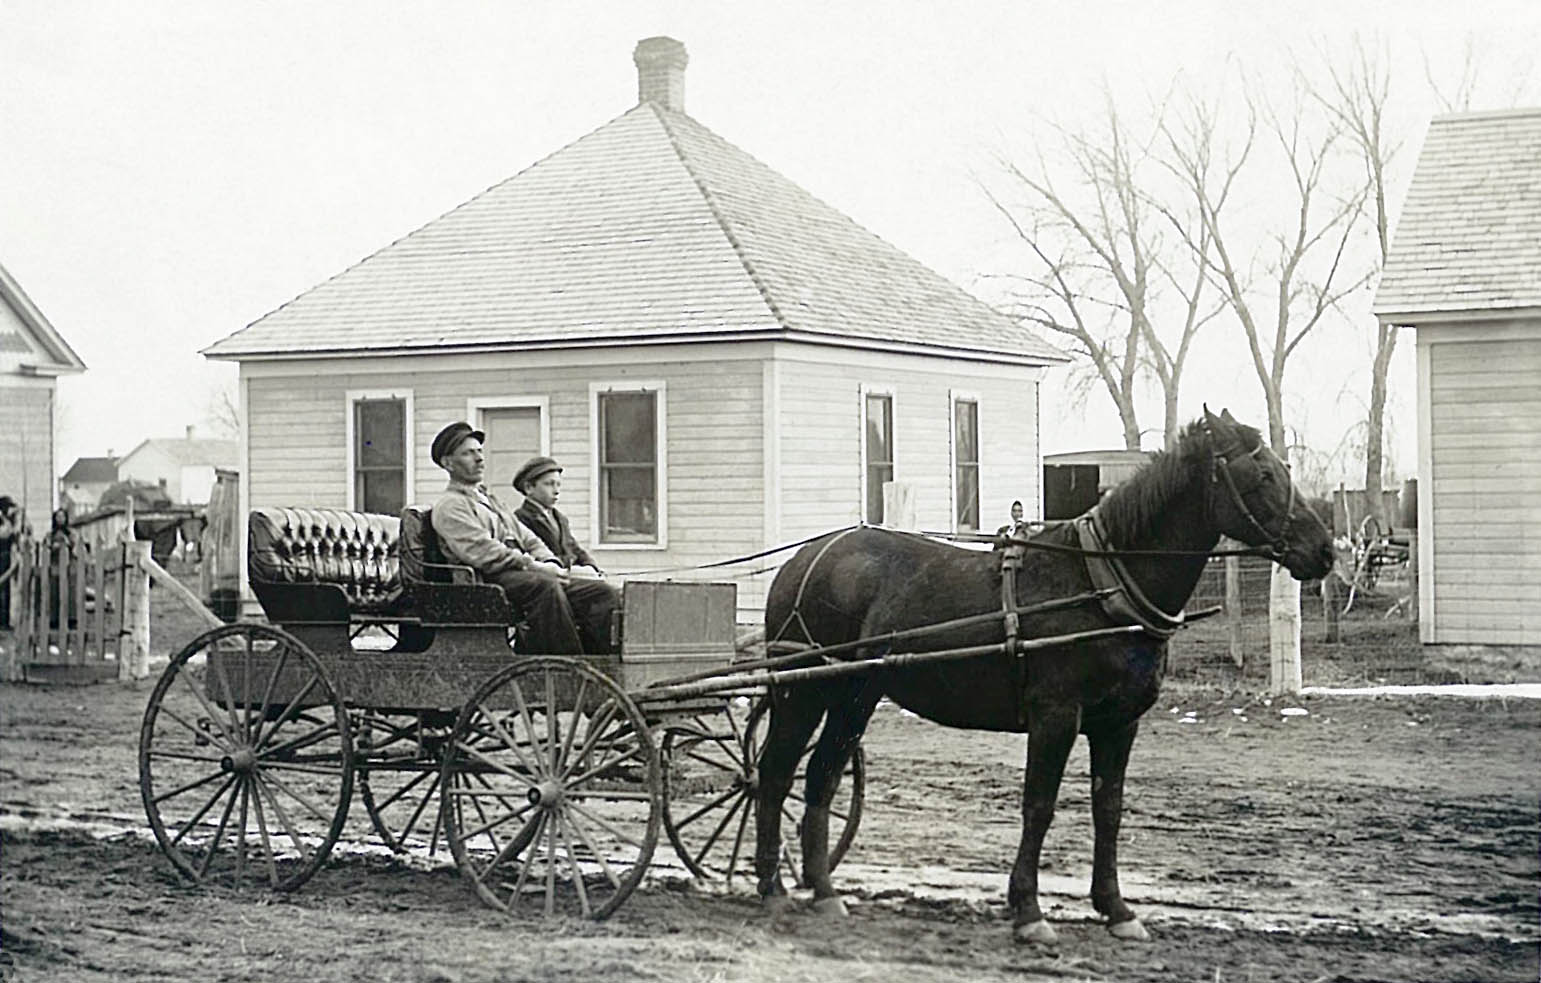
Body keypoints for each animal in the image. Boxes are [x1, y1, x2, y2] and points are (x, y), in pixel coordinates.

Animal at [755, 407, 1334, 944]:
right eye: (1262, 475)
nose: (1325, 550)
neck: (1100, 585)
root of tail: (806, 558)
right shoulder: (1055, 716)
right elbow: (1039, 806)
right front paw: (1029, 911)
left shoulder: (1118, 724)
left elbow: (1108, 809)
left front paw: (1115, 908)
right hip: (804, 691)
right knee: (774, 772)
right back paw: (772, 887)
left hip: (855, 695)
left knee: (821, 776)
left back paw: (822, 890)